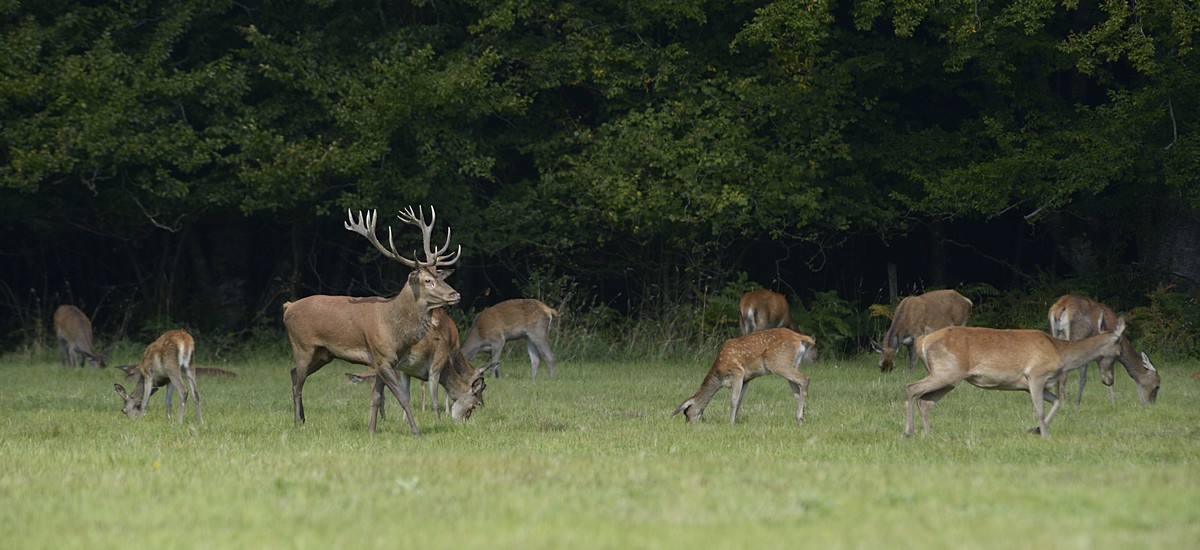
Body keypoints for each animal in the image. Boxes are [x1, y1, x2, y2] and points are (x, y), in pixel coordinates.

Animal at [283, 206, 475, 434]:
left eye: (441, 278)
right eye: (428, 280)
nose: (456, 294)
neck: (394, 329)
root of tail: (288, 307)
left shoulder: (386, 361)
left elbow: (376, 397)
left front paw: (372, 431)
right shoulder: (382, 358)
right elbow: (402, 398)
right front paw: (416, 432)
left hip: (324, 353)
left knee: (294, 374)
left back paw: (303, 419)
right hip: (302, 346)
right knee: (297, 383)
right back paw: (296, 424)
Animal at [676, 326, 816, 425]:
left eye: (686, 412)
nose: (688, 424)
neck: (719, 376)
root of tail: (798, 337)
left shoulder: (737, 372)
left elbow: (733, 400)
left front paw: (730, 423)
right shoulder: (746, 379)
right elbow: (739, 400)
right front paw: (735, 421)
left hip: (778, 362)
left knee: (805, 379)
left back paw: (799, 417)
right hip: (794, 363)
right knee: (797, 391)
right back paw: (800, 421)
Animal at [902, 317, 1128, 437]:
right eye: (1119, 350)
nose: (1109, 380)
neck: (1061, 354)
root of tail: (923, 340)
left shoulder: (1032, 384)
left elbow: (1056, 402)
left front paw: (1036, 430)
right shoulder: (1036, 374)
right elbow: (1039, 409)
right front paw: (1044, 435)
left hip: (949, 377)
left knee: (925, 401)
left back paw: (928, 433)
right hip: (946, 371)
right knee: (911, 388)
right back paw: (908, 431)